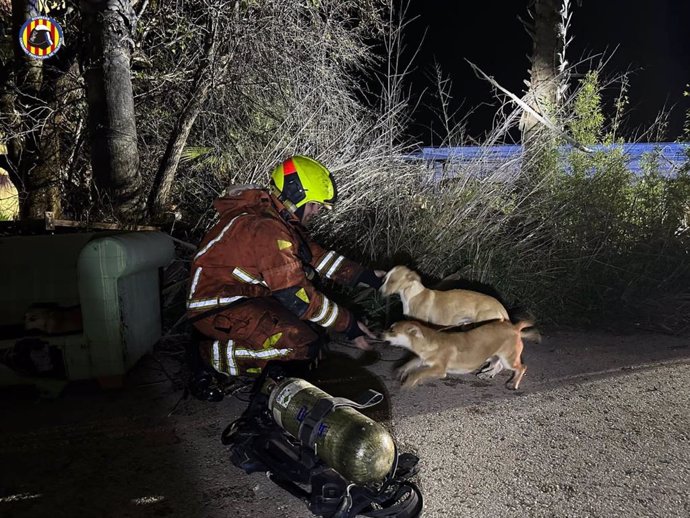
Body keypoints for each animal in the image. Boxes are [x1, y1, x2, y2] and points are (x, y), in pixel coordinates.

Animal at [382, 320, 536, 390]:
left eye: (392, 331)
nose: (379, 334)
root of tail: (515, 328)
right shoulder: (422, 359)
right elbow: (410, 364)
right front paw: (402, 371)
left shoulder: (439, 369)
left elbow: (418, 373)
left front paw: (409, 382)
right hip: (495, 356)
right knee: (497, 366)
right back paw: (486, 374)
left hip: (508, 359)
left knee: (522, 367)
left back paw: (514, 383)